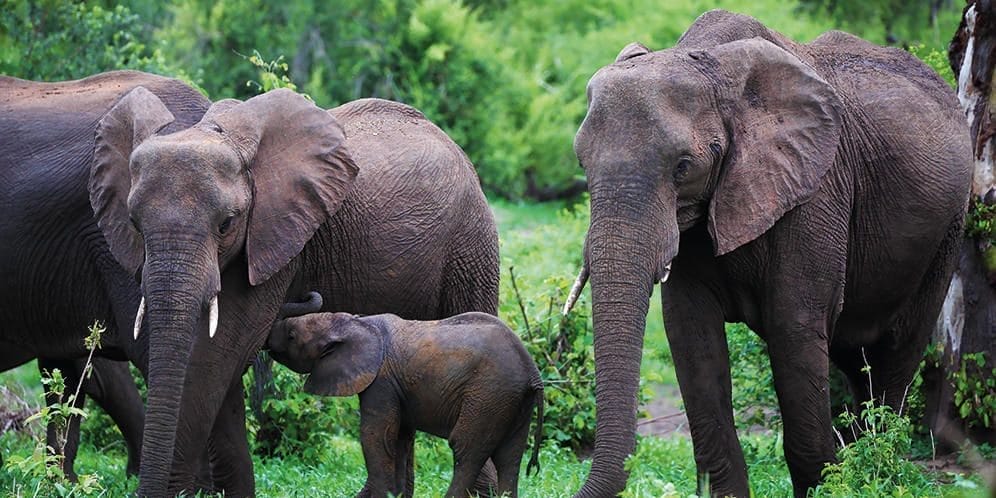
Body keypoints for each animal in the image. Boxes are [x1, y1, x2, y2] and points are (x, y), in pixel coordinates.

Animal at [266, 292, 544, 498]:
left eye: (291, 336)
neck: (355, 323)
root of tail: (533, 372)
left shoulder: (381, 382)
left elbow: (377, 436)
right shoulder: (397, 387)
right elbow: (400, 439)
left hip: (488, 394)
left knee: (466, 449)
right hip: (512, 400)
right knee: (510, 456)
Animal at [568, 8, 972, 498]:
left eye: (683, 167)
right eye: (581, 162)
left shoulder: (816, 190)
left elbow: (792, 329)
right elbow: (690, 335)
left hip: (949, 229)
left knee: (897, 353)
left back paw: (876, 466)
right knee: (855, 359)